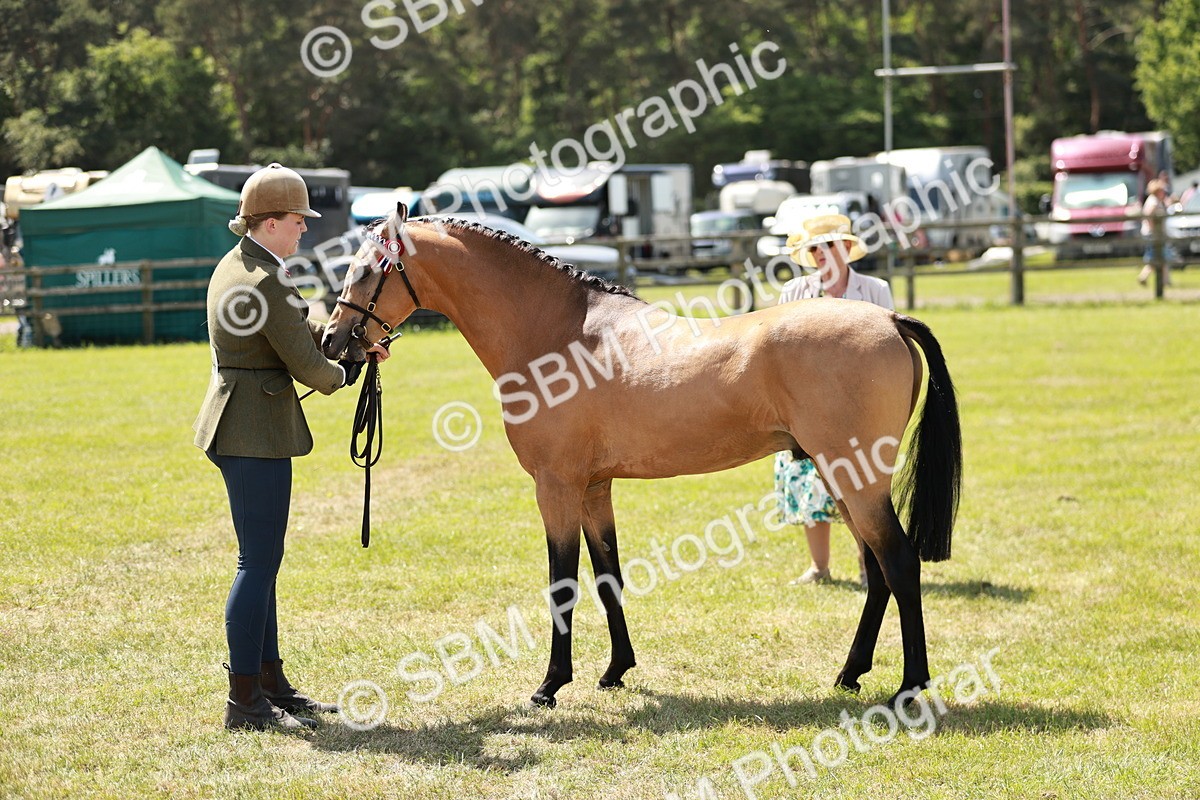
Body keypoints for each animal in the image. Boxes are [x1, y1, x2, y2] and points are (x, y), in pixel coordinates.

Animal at [322, 205, 962, 709]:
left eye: (368, 270)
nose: (332, 340)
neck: (558, 336)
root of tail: (890, 319)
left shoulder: (555, 486)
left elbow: (562, 581)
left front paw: (549, 686)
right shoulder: (593, 487)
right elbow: (607, 575)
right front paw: (615, 671)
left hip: (855, 479)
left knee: (898, 563)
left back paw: (909, 686)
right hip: (843, 478)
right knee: (877, 571)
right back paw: (850, 674)